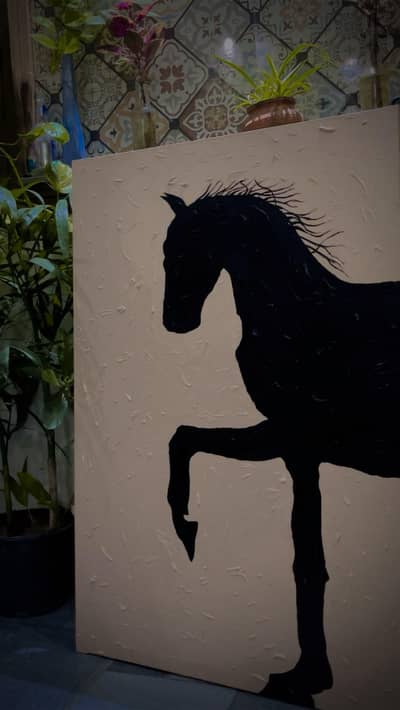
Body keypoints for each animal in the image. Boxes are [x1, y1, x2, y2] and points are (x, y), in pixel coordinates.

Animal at [161, 181, 400, 707]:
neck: (298, 316)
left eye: (180, 251)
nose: (174, 323)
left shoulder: (295, 444)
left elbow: (307, 562)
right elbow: (183, 439)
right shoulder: (287, 445)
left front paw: (303, 679)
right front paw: (187, 527)